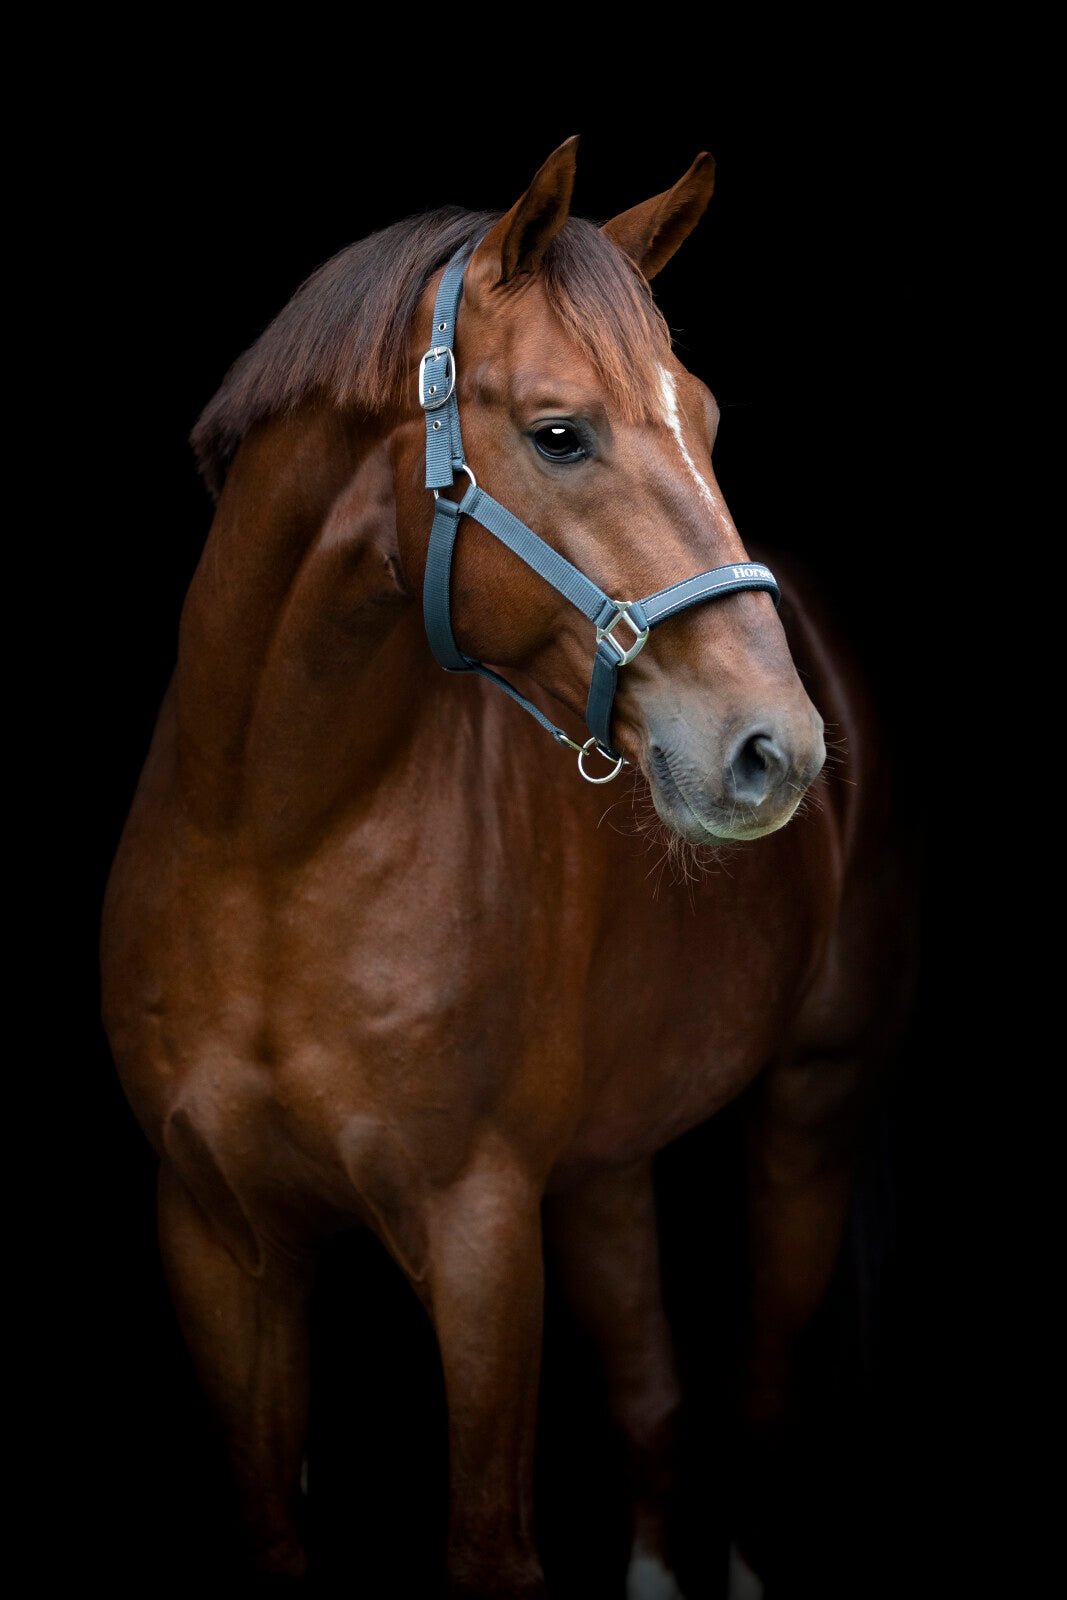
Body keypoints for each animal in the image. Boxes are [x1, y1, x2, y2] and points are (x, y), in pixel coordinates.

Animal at [100, 136, 915, 1597]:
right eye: (557, 433)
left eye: (706, 422)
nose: (775, 749)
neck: (271, 847)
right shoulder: (215, 1237)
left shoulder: (476, 1237)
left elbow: (490, 1542)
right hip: (602, 1168)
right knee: (650, 1406)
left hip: (806, 1117)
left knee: (754, 1402)